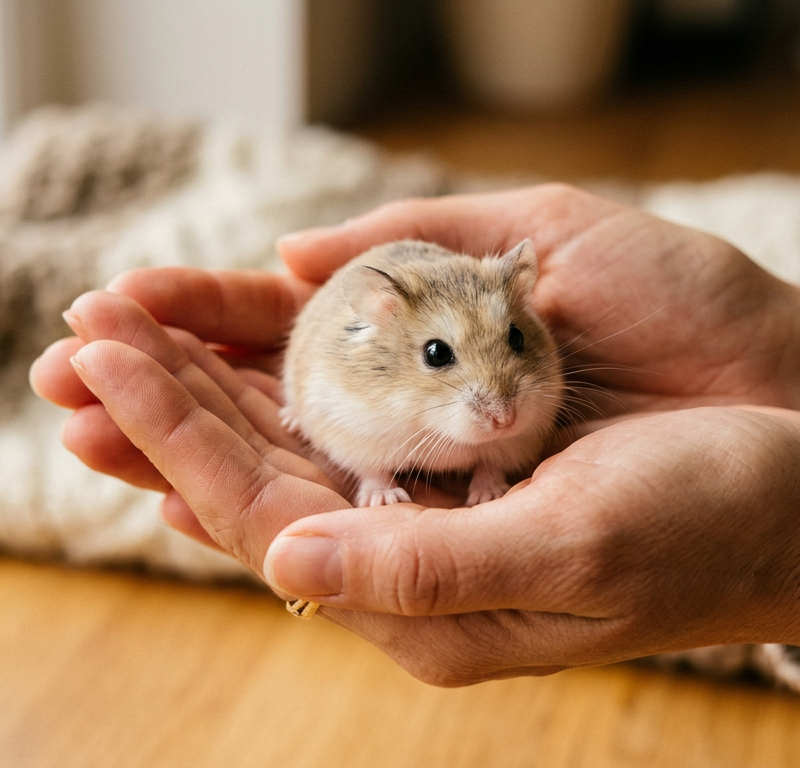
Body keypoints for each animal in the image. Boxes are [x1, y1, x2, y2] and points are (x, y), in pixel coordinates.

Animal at [281, 239, 563, 508]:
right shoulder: (352, 433)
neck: (435, 427)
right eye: (436, 353)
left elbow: (490, 466)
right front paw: (385, 499)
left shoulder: (515, 442)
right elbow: (373, 471)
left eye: (517, 337)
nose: (505, 421)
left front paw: (489, 495)